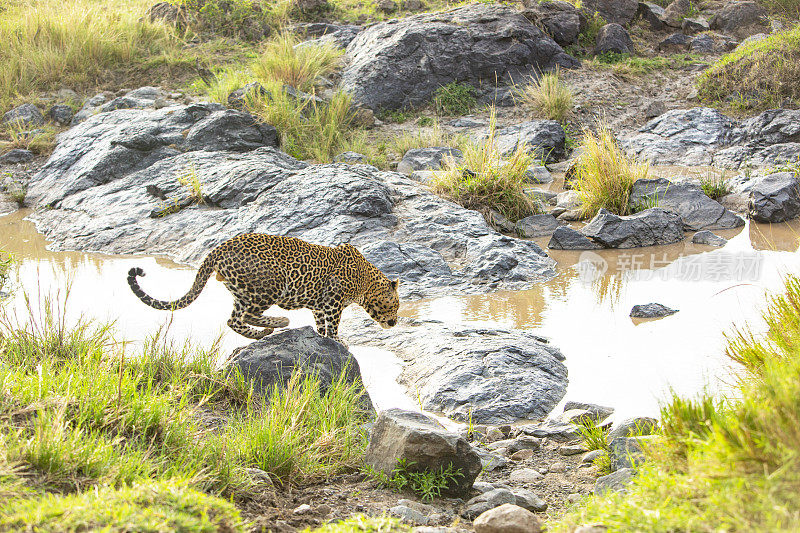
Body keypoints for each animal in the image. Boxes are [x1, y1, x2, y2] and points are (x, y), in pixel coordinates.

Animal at [128, 233, 400, 340]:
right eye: (396, 305)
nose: (396, 321)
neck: (365, 280)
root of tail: (219, 248)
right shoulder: (333, 301)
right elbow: (332, 326)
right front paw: (338, 341)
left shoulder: (319, 305)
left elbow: (322, 325)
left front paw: (324, 337)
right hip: (271, 285)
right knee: (242, 317)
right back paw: (275, 324)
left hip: (242, 290)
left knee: (236, 318)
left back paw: (267, 329)